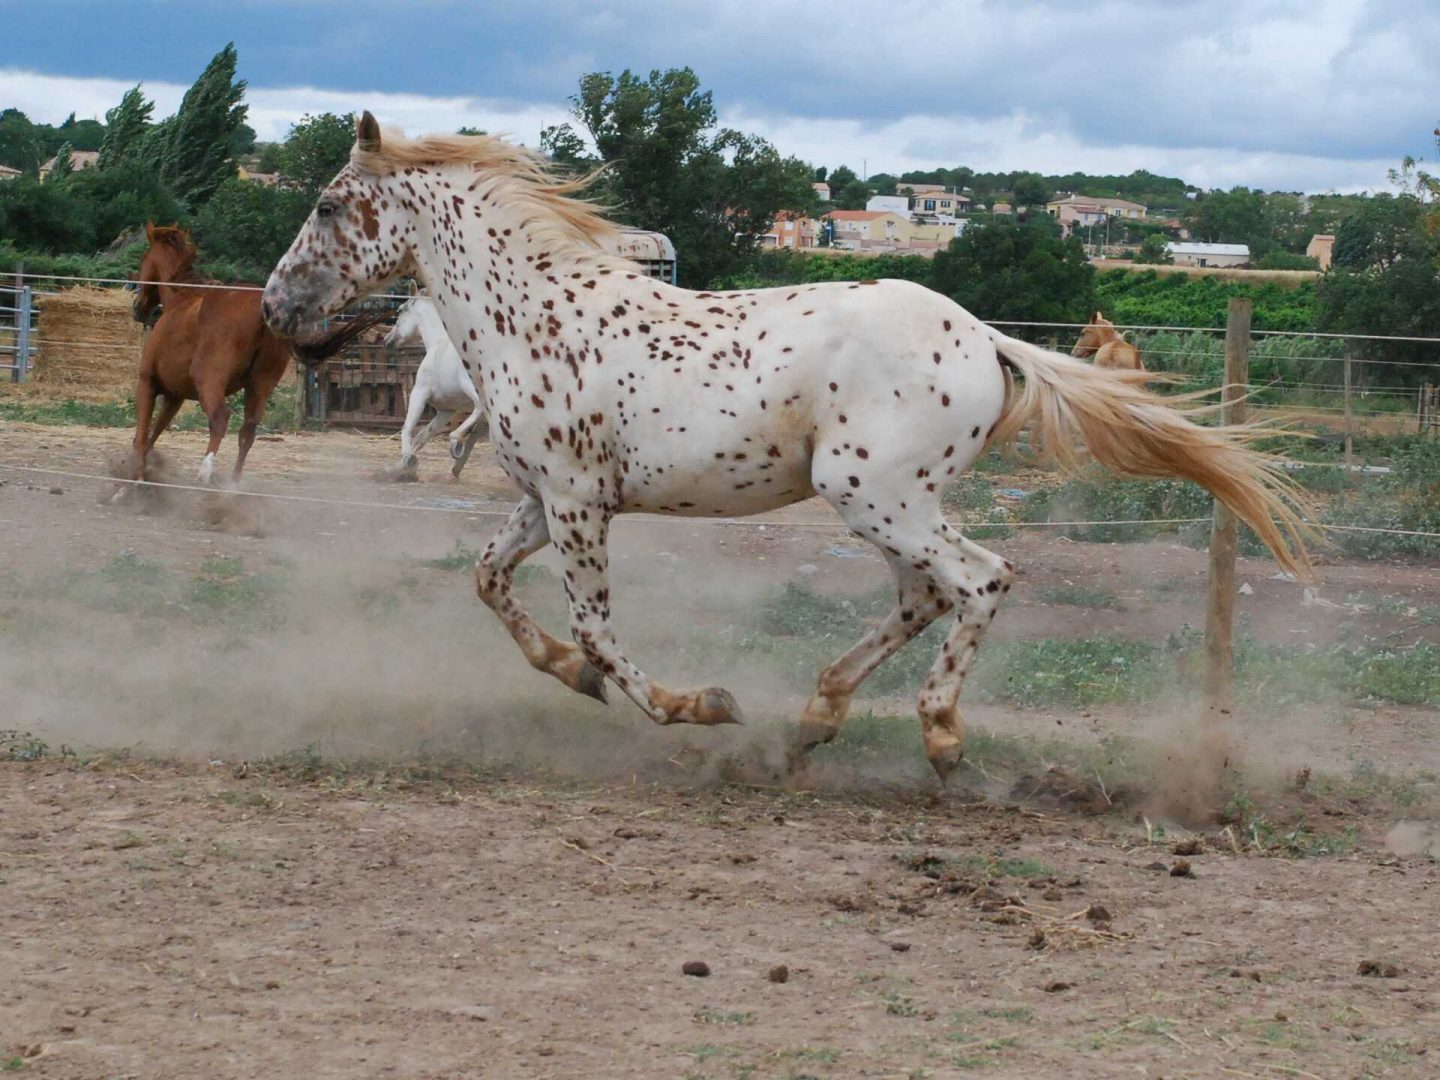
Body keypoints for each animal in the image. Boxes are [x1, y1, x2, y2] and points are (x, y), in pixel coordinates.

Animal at [129, 223, 377, 485]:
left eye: (143, 259)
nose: (138, 308)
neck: (182, 298)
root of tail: (262, 310)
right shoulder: (174, 396)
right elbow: (153, 433)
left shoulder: (148, 383)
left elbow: (142, 435)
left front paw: (137, 480)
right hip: (261, 384)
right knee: (248, 431)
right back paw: (233, 484)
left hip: (209, 381)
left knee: (220, 418)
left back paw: (205, 473)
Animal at [385, 295, 489, 479]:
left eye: (400, 311)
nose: (387, 340)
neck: (437, 344)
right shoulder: (446, 411)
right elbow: (423, 436)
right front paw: (400, 467)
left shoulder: (419, 393)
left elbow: (408, 427)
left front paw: (406, 461)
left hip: (473, 389)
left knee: (480, 406)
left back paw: (455, 440)